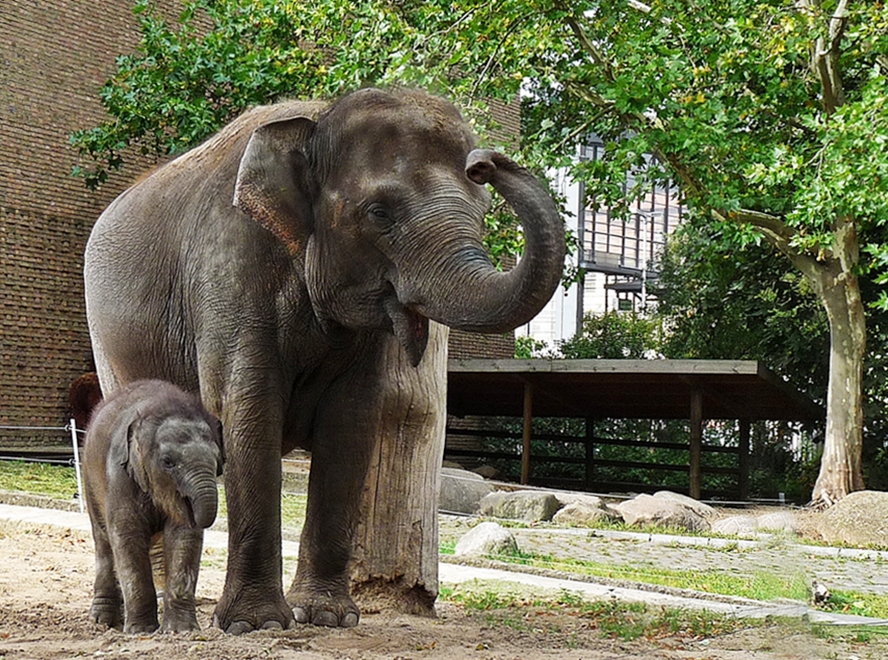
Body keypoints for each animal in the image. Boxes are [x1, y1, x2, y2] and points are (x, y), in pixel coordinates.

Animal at [83, 382, 224, 636]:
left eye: (218, 461)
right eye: (168, 462)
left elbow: (183, 536)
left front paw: (181, 631)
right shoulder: (119, 475)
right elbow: (127, 534)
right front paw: (141, 631)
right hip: (90, 479)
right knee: (104, 542)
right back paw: (103, 621)